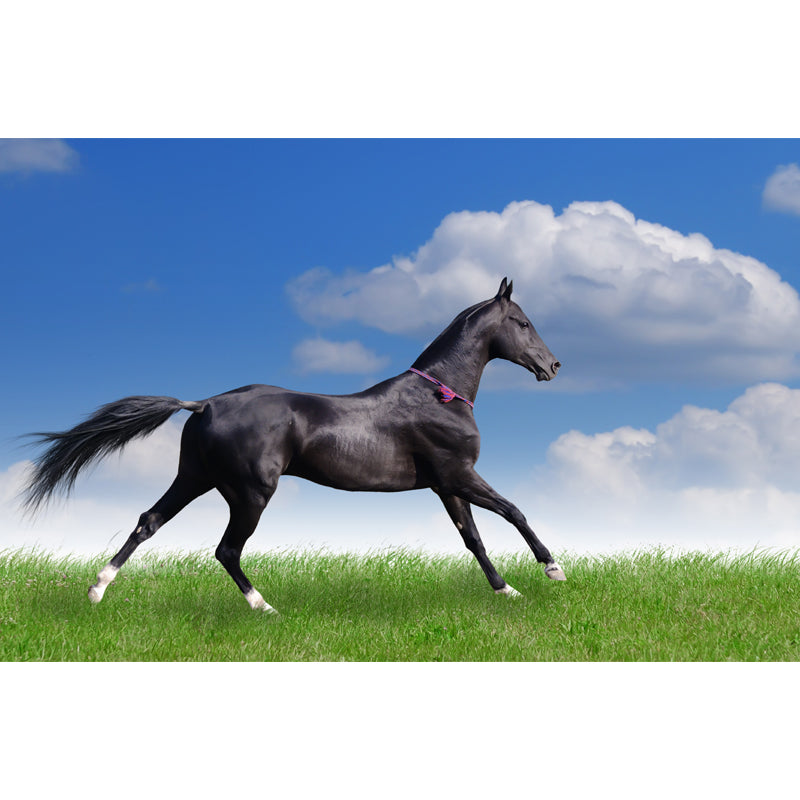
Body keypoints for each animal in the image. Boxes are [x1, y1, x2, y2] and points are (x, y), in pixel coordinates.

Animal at [22, 278, 564, 614]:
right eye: (522, 323)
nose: (553, 365)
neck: (439, 395)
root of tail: (204, 404)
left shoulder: (445, 484)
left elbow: (473, 539)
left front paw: (507, 590)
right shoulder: (459, 475)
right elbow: (514, 511)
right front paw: (553, 570)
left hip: (194, 478)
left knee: (148, 522)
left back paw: (97, 589)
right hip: (250, 493)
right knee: (226, 550)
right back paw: (265, 607)